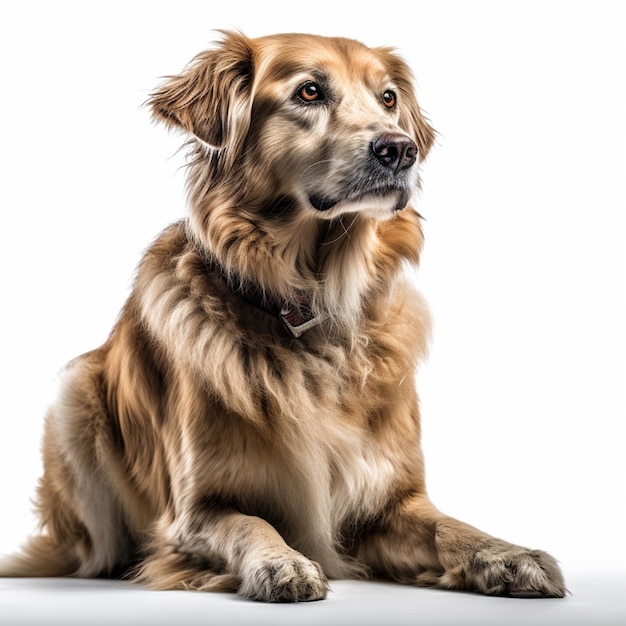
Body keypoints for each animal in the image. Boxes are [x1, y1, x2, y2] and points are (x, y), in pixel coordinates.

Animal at [0, 30, 564, 600]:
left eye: (388, 98)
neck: (314, 298)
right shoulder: (193, 512)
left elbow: (450, 527)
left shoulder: (391, 501)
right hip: (73, 395)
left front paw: (509, 555)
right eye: (309, 92)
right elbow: (251, 522)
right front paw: (281, 563)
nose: (401, 148)